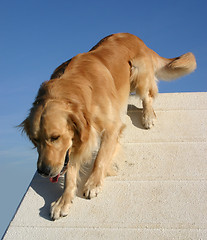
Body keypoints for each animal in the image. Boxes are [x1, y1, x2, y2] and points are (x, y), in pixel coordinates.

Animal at [19, 32, 196, 220]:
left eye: (55, 137)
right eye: (35, 140)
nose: (43, 171)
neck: (79, 90)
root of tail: (136, 37)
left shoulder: (112, 127)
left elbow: (100, 157)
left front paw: (93, 183)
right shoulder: (77, 140)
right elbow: (70, 172)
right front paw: (63, 200)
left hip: (139, 72)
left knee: (147, 96)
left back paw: (148, 116)